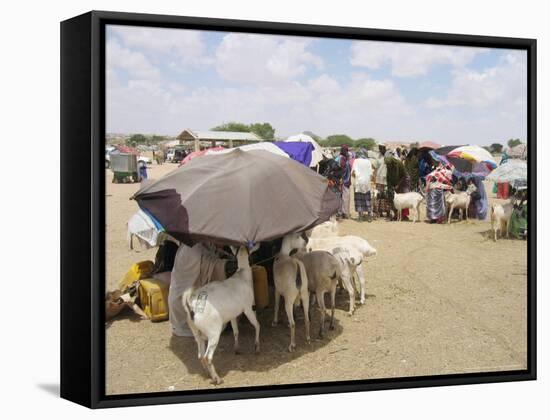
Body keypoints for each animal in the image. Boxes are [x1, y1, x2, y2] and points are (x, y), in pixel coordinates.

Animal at [183, 244, 260, 386]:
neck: (242, 275)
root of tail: (191, 305)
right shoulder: (247, 308)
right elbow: (257, 324)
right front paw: (257, 347)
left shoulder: (233, 315)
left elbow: (235, 330)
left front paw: (237, 349)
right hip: (213, 332)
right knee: (207, 357)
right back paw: (218, 379)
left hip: (197, 333)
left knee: (200, 355)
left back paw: (208, 374)